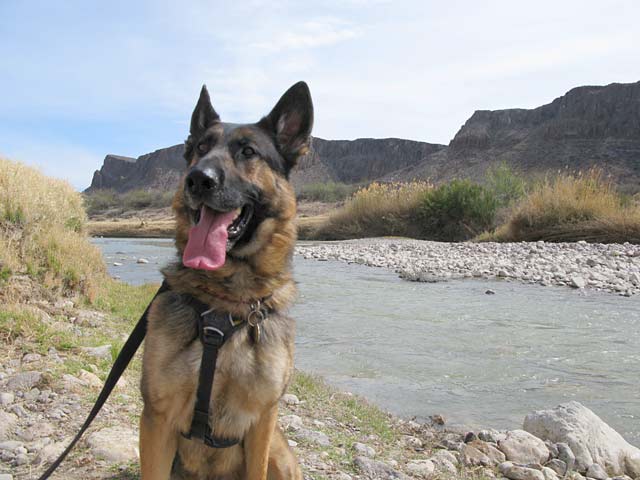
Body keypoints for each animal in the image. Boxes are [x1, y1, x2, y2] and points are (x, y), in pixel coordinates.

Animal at [139, 83, 312, 480]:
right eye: (200, 148)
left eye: (248, 152)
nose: (198, 179)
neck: (225, 303)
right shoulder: (157, 418)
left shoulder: (262, 422)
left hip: (280, 453)